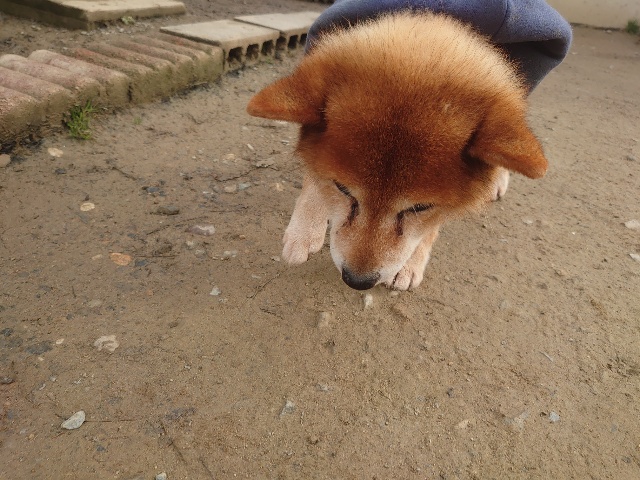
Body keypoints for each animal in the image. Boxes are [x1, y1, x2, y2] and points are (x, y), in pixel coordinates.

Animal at [247, 12, 548, 291]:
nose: (357, 281)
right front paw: (305, 228)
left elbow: (431, 226)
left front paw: (411, 262)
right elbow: (314, 174)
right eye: (343, 189)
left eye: (421, 207)